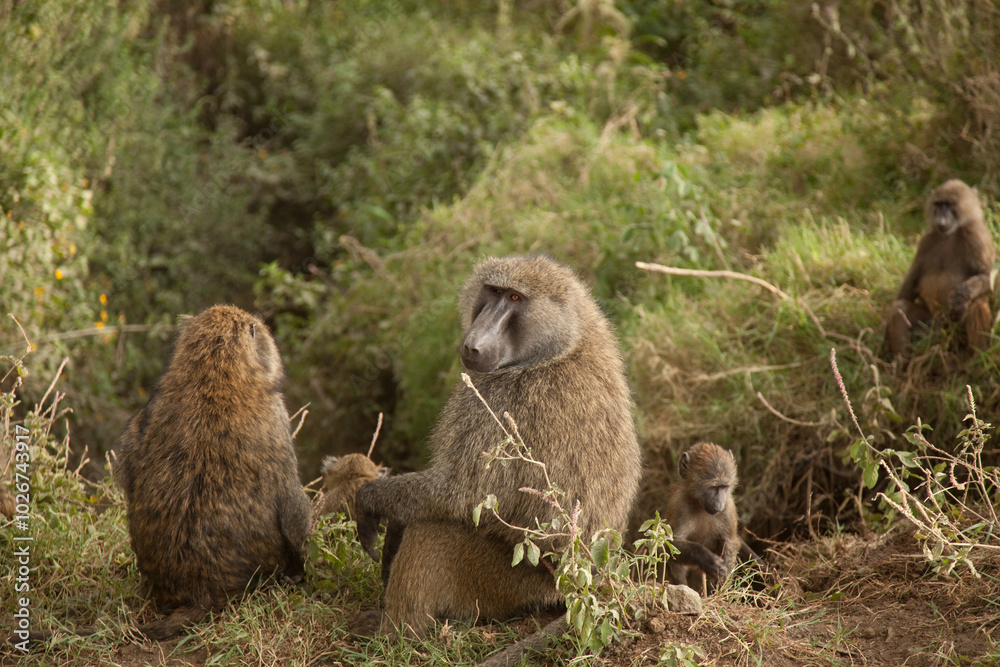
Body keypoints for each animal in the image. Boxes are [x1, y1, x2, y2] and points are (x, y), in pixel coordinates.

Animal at [111, 304, 312, 639]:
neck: (214, 377)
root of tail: (200, 591)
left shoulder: (144, 418)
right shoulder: (276, 416)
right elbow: (293, 508)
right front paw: (301, 569)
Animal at [352, 255, 643, 639]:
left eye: (516, 298)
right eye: (493, 292)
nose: (473, 345)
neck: (564, 347)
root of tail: (580, 581)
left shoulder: (496, 399)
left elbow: (457, 495)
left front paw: (370, 501)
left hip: (510, 579)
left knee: (433, 533)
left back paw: (393, 632)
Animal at [664, 442, 759, 596]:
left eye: (724, 487)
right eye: (713, 487)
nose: (719, 505)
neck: (700, 505)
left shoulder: (728, 508)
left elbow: (729, 541)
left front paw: (721, 586)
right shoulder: (679, 505)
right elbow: (670, 543)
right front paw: (706, 559)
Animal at [885, 179, 996, 360]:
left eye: (950, 205)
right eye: (939, 204)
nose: (941, 221)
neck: (951, 234)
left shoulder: (977, 237)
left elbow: (988, 276)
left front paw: (961, 295)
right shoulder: (926, 242)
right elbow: (909, 286)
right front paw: (885, 336)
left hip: (955, 330)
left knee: (977, 302)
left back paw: (974, 358)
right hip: (930, 326)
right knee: (899, 308)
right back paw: (901, 361)